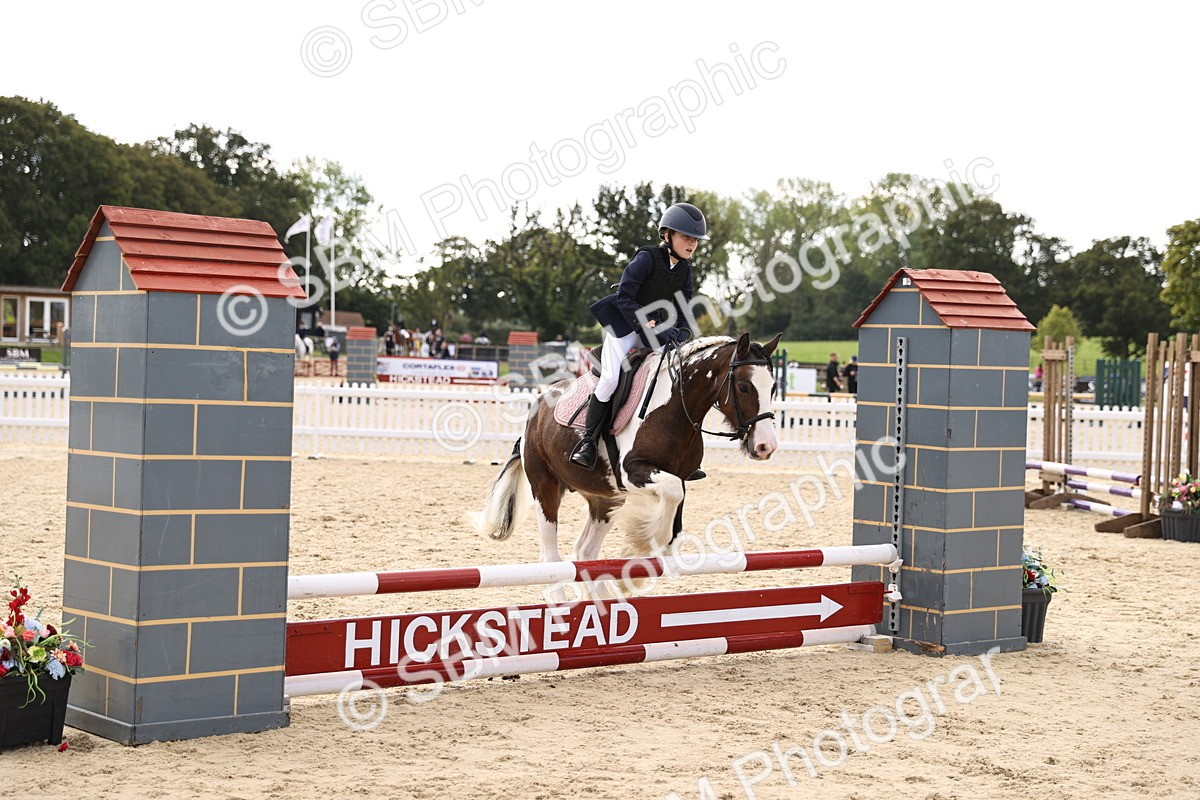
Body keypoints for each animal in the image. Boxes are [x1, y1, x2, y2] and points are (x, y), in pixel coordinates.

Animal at [473, 333, 782, 570]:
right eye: (743, 386)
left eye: (773, 388)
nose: (765, 447)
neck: (675, 406)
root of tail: (536, 408)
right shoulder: (633, 471)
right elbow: (671, 492)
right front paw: (649, 538)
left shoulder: (679, 474)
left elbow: (676, 496)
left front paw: (666, 544)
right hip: (545, 486)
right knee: (551, 556)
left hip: (605, 499)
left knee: (585, 550)